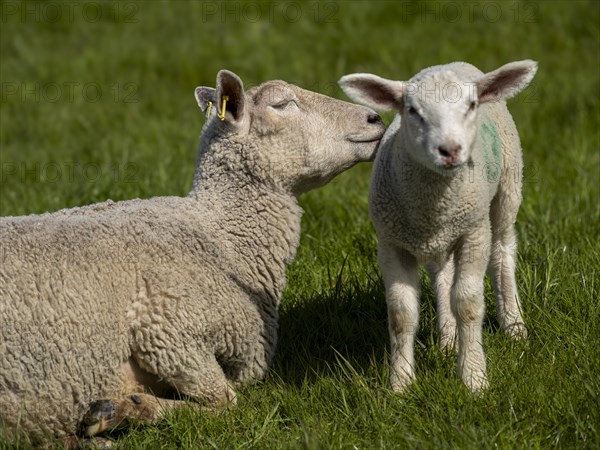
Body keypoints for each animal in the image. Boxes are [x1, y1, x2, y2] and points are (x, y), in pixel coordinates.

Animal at [0, 68, 384, 444]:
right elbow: (224, 402)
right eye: (281, 103)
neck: (221, 235)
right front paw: (128, 409)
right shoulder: (166, 327)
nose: (375, 117)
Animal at [338, 61, 540, 392]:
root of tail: (455, 63)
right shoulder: (391, 242)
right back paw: (447, 339)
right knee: (442, 274)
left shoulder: (473, 233)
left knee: (502, 251)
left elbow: (468, 304)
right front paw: (401, 384)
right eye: (412, 110)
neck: (434, 205)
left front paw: (474, 379)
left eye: (471, 106)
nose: (450, 150)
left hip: (508, 188)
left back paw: (514, 326)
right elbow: (401, 313)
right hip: (441, 236)